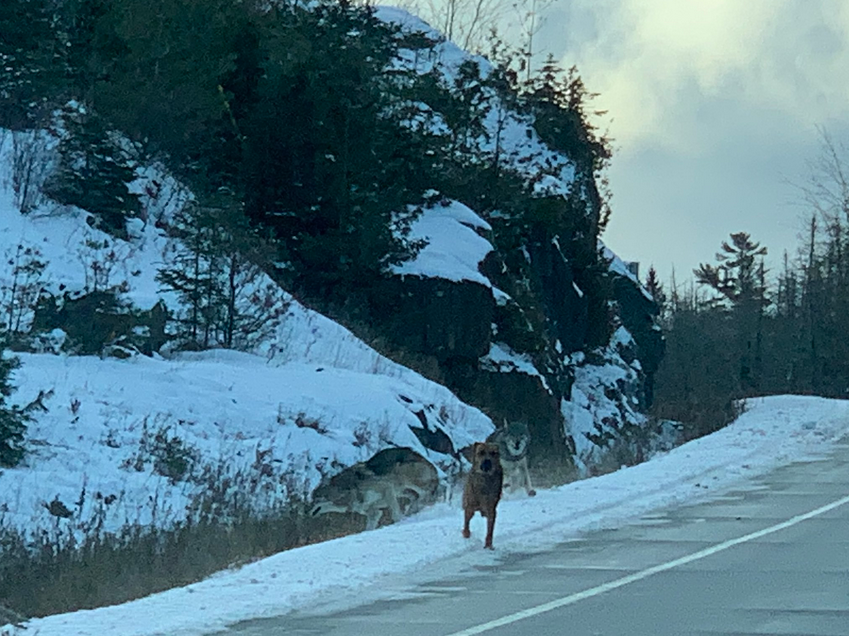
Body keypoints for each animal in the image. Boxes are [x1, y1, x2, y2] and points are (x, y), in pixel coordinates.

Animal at [308, 448, 438, 532]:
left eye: (315, 500)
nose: (308, 512)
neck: (348, 491)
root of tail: (418, 455)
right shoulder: (373, 512)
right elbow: (368, 528)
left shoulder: (386, 488)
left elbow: (395, 515)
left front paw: (401, 522)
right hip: (402, 491)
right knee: (416, 497)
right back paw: (413, 510)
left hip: (404, 478)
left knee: (427, 492)